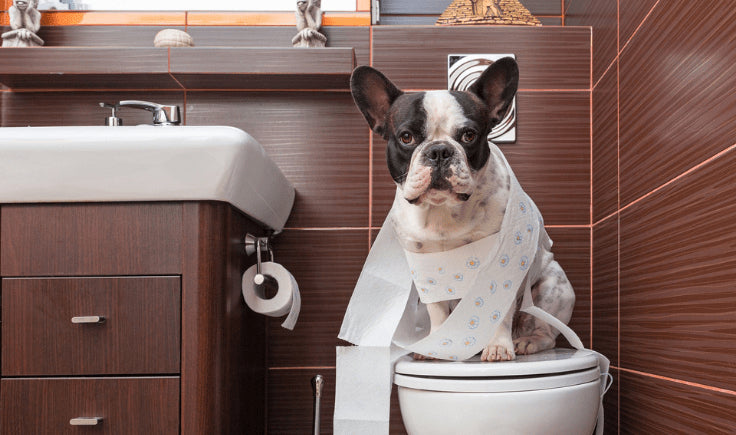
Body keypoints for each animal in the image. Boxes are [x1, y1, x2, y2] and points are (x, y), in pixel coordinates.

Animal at [350, 59, 576, 362]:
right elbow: (437, 313)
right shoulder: (427, 270)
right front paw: (438, 346)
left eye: (469, 135)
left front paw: (498, 346)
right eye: (406, 137)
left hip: (552, 286)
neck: (443, 212)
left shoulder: (502, 267)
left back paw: (527, 341)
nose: (439, 151)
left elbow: (499, 312)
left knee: (546, 332)